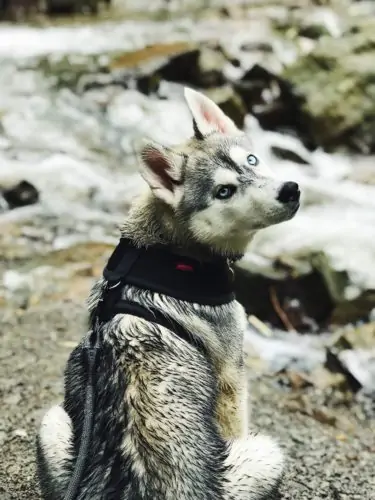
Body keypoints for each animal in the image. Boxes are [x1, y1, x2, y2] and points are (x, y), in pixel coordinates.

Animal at [35, 87, 300, 500]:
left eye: (252, 160)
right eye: (224, 191)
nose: (289, 190)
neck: (173, 251)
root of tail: (138, 488)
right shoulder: (232, 373)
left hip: (53, 426)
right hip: (266, 453)